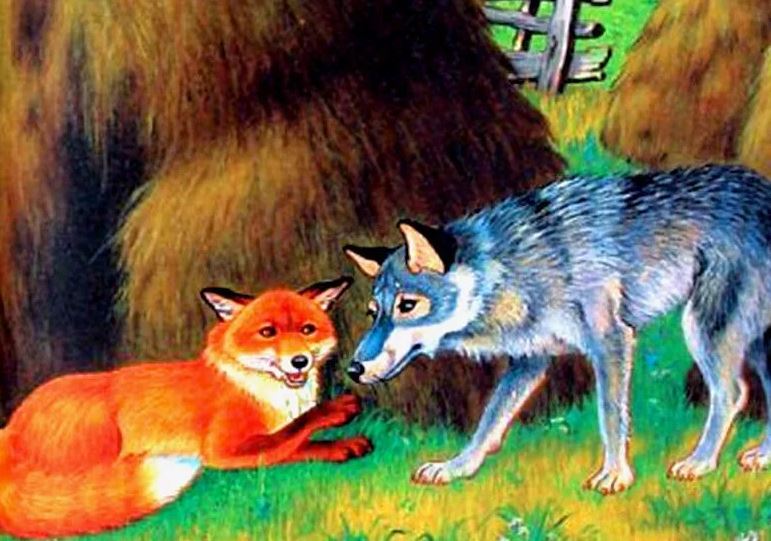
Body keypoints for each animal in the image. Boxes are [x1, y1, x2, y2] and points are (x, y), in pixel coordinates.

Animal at [344, 164, 771, 494]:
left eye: (407, 306)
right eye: (373, 313)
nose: (353, 369)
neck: (511, 268)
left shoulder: (612, 342)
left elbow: (611, 415)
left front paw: (615, 475)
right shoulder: (529, 361)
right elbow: (489, 422)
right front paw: (456, 467)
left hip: (703, 330)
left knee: (732, 393)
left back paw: (700, 462)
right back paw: (761, 456)